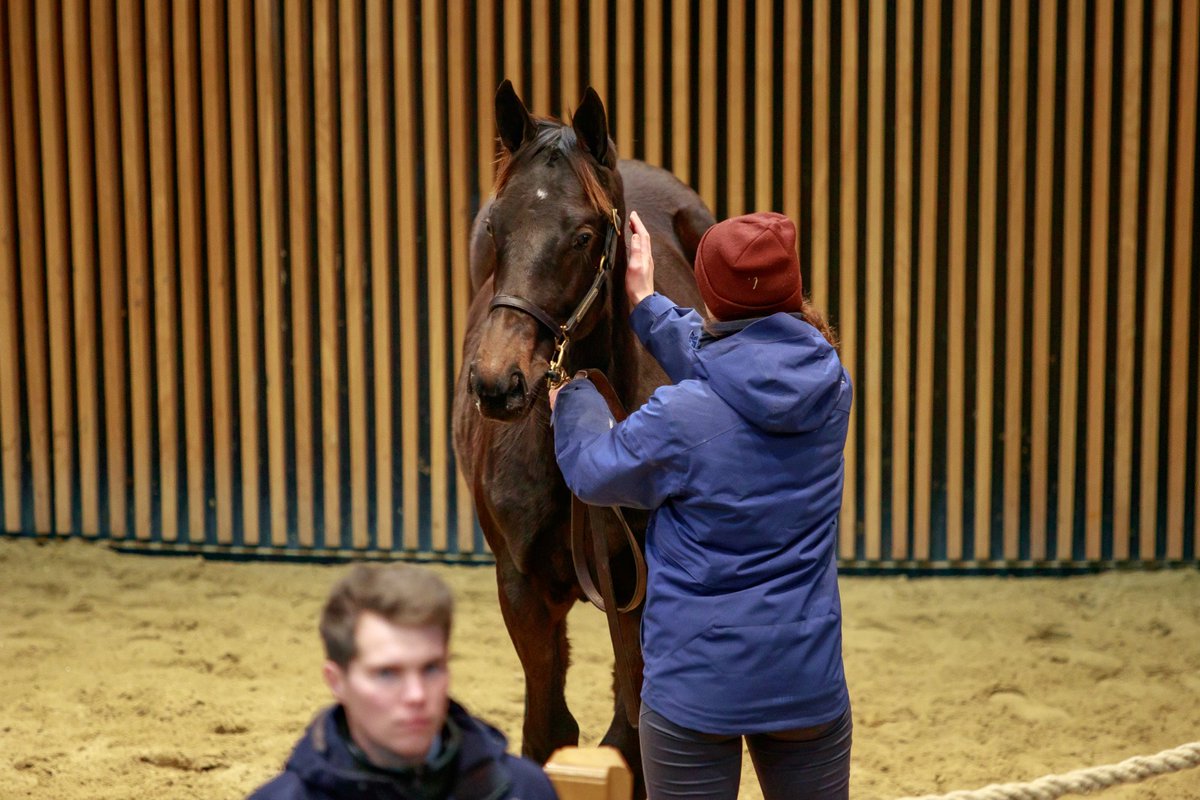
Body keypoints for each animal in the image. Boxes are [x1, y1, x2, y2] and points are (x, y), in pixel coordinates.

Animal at [452, 80, 713, 794]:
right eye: (496, 228)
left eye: (584, 234)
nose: (498, 383)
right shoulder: (520, 587)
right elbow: (548, 731)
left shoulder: (640, 590)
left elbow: (635, 734)